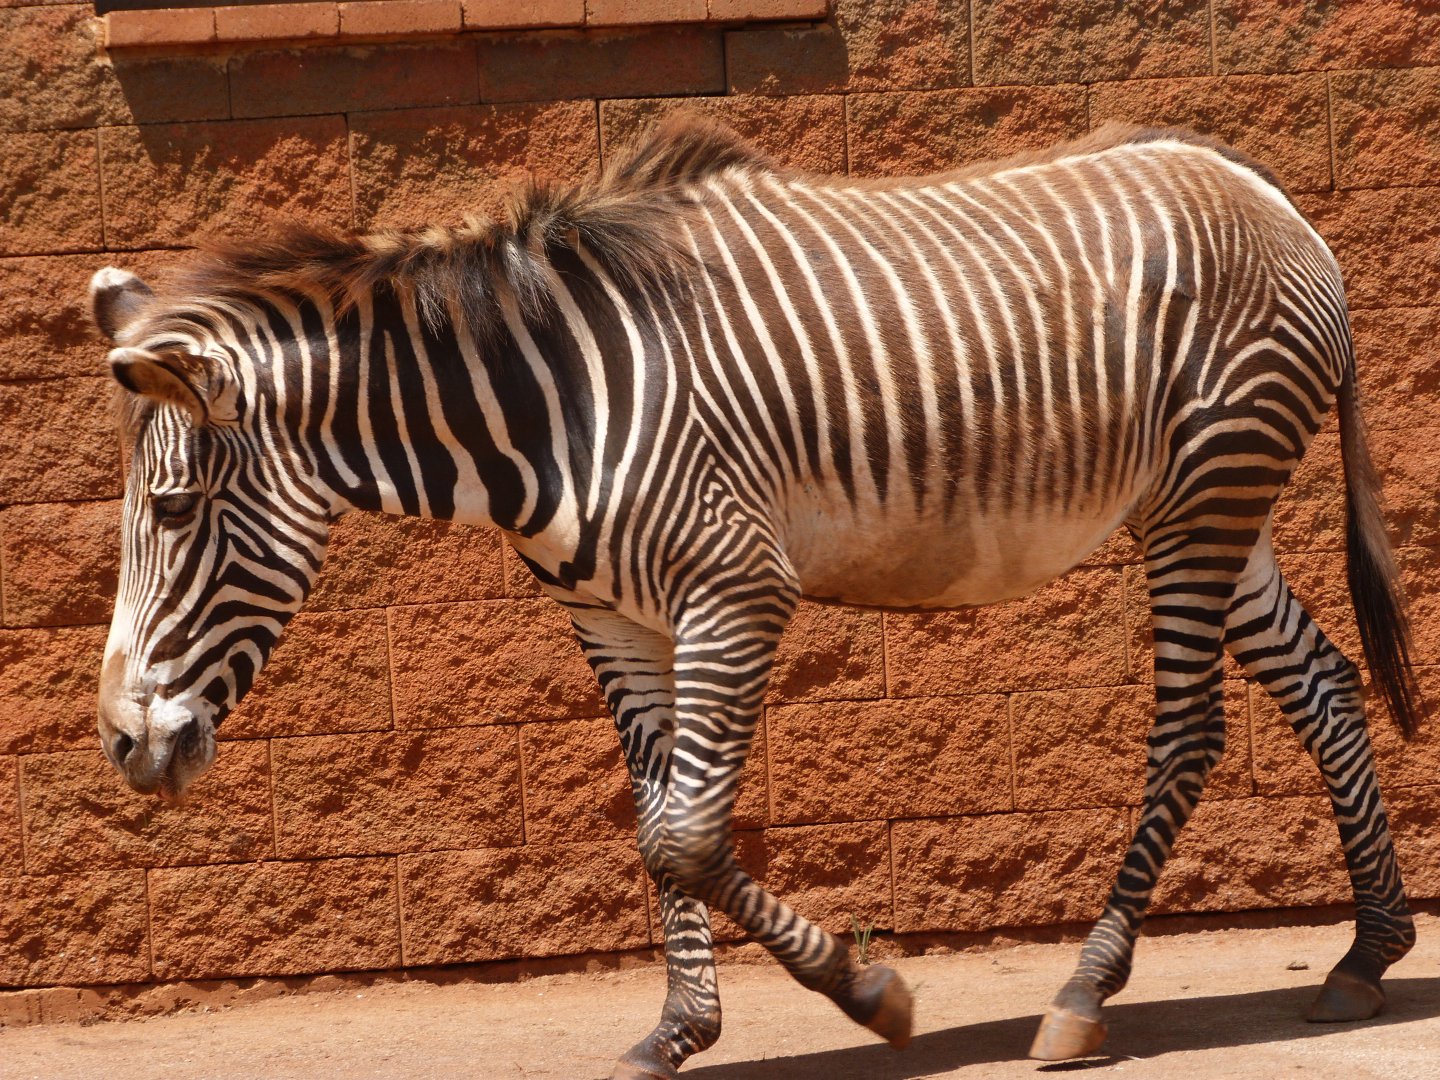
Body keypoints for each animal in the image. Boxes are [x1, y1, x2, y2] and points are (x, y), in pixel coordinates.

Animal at [91, 116, 1422, 1076]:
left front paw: (872, 994)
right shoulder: (613, 619)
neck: (548, 406)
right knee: (1320, 678)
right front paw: (678, 1033)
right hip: (1202, 503)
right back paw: (1369, 951)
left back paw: (1086, 992)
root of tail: (1265, 191)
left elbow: (682, 833)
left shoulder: (735, 591)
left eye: (172, 512)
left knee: (1191, 728)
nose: (121, 745)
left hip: (1210, 485)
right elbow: (654, 821)